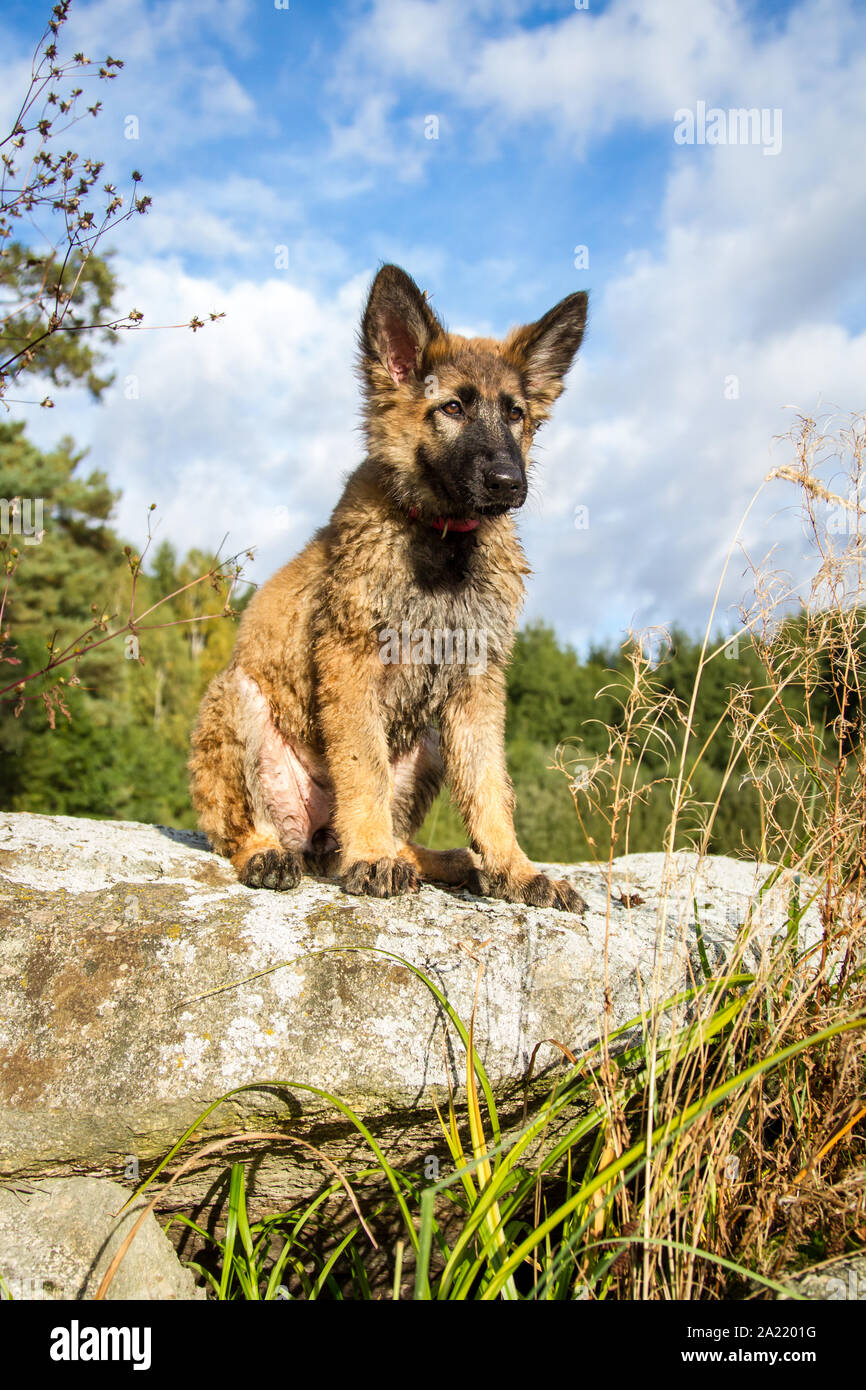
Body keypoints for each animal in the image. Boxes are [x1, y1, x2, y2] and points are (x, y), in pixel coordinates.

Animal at [190, 265, 589, 911]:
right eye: (452, 408)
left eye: (516, 415)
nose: (509, 482)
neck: (442, 539)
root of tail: (318, 842)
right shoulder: (350, 662)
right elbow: (364, 767)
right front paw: (373, 856)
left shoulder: (476, 683)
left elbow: (490, 785)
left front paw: (514, 867)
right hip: (236, 698)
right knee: (237, 831)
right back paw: (279, 854)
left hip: (429, 740)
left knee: (400, 836)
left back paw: (449, 861)